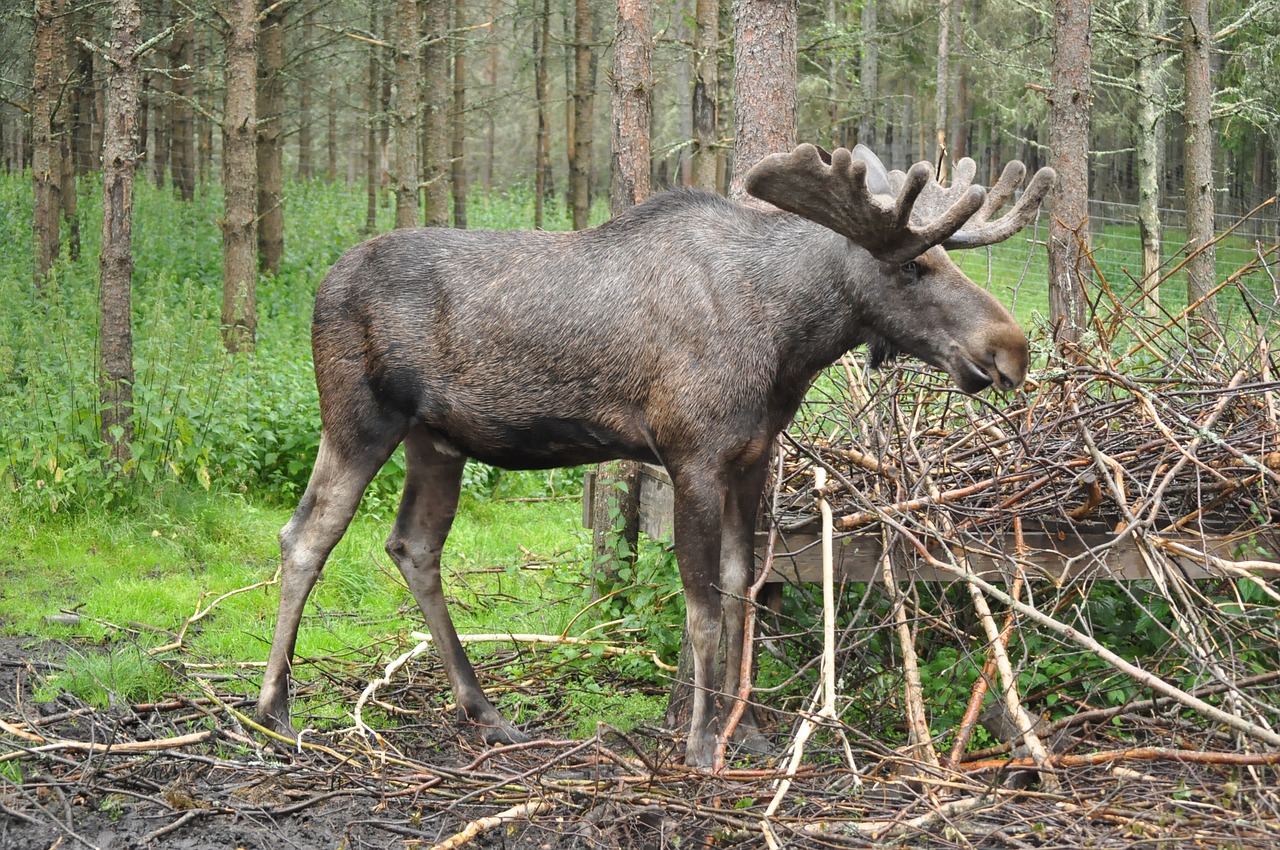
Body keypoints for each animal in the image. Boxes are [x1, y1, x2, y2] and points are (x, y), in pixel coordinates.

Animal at [255, 144, 1055, 769]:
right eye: (914, 268)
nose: (1010, 349)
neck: (788, 342)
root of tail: (322, 285)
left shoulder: (751, 456)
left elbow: (742, 589)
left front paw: (750, 732)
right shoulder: (691, 453)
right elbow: (700, 606)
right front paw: (700, 744)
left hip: (436, 441)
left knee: (413, 545)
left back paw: (483, 709)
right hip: (358, 419)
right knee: (306, 535)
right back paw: (274, 709)